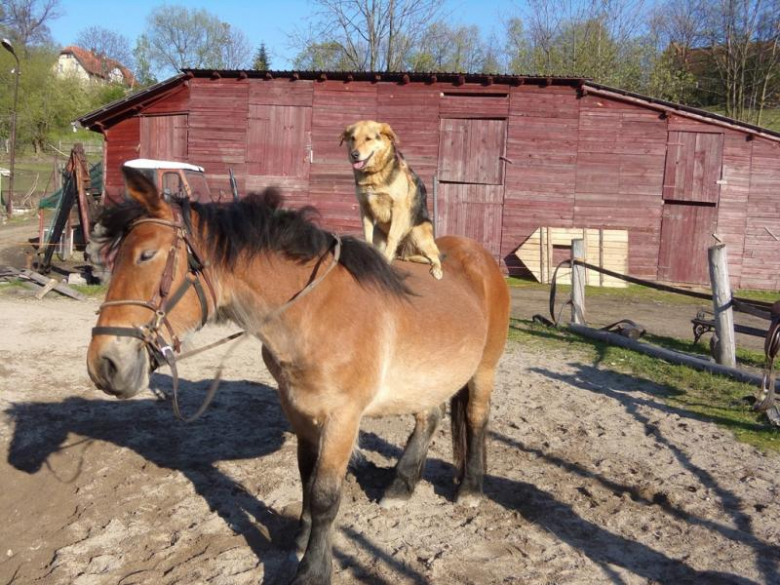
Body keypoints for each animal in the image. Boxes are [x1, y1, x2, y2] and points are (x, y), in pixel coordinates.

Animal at [87, 165, 512, 584]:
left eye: (146, 255)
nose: (103, 365)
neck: (314, 311)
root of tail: (479, 257)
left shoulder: (343, 417)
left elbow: (324, 494)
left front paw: (313, 569)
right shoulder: (298, 408)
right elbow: (306, 477)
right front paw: (301, 538)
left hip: (484, 369)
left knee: (475, 418)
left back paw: (470, 489)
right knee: (429, 416)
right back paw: (400, 487)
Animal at [342, 120, 444, 280]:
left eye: (368, 139)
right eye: (352, 138)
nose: (354, 155)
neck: (374, 174)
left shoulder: (397, 208)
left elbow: (392, 236)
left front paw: (386, 260)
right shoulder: (365, 208)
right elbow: (367, 235)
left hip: (418, 234)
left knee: (435, 256)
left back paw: (437, 270)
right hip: (381, 233)